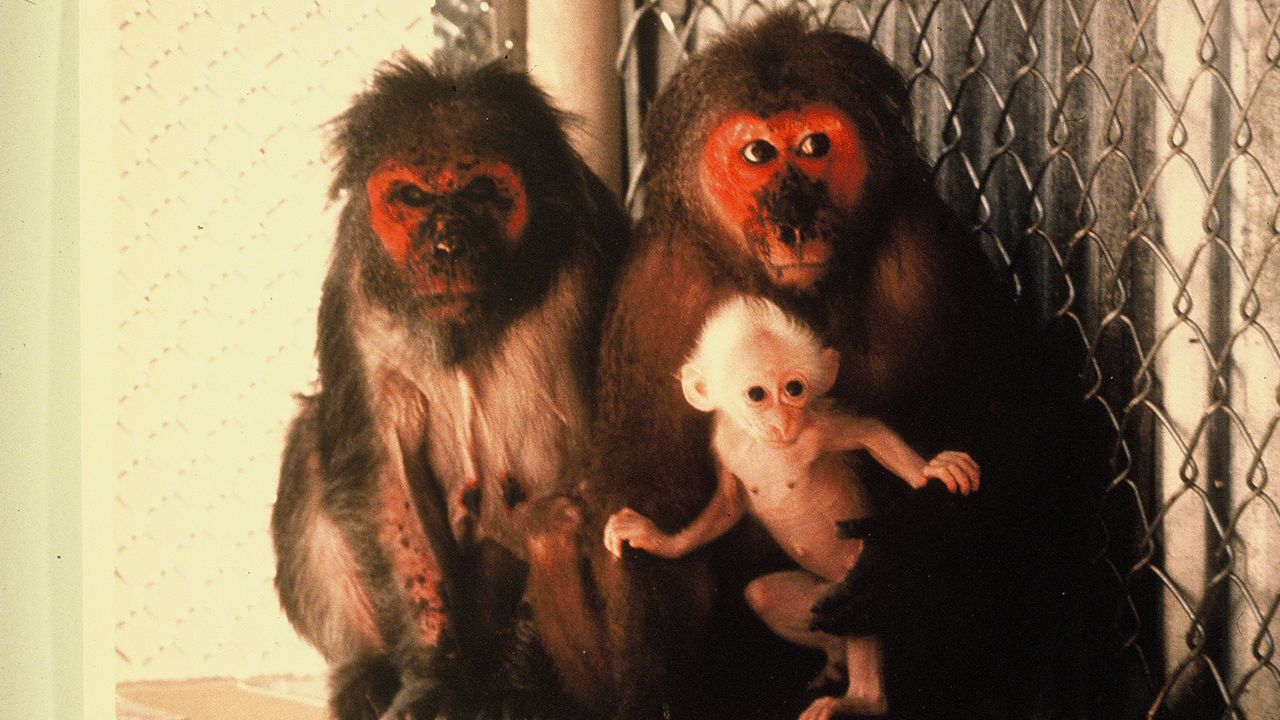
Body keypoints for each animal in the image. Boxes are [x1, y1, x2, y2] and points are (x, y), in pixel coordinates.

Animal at [270, 56, 627, 720]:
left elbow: (584, 477)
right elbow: (381, 478)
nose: (447, 241)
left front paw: (519, 685)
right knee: (309, 443)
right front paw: (433, 675)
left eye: (481, 192)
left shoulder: (595, 265)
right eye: (412, 197)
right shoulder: (355, 284)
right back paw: (364, 670)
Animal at [602, 294, 979, 719]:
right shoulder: (725, 447)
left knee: (862, 610)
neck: (765, 444)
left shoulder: (818, 430)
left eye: (795, 389)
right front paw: (659, 541)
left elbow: (870, 432)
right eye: (757, 395)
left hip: (849, 583)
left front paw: (928, 471)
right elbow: (727, 505)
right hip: (820, 597)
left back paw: (862, 699)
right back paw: (835, 655)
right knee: (765, 597)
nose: (782, 422)